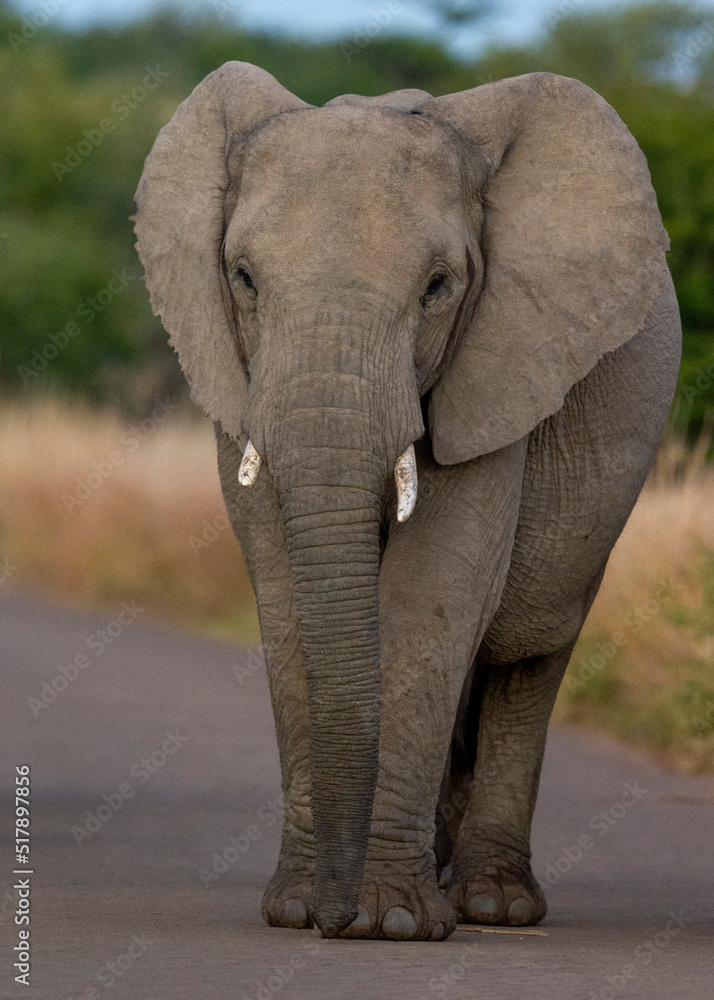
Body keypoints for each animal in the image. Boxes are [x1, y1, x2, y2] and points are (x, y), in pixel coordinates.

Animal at [134, 62, 681, 941]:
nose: (330, 917)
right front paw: (299, 908)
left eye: (437, 288)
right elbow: (284, 592)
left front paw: (387, 919)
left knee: (531, 652)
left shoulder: (497, 364)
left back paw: (492, 903)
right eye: (243, 278)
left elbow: (433, 595)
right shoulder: (237, 374)